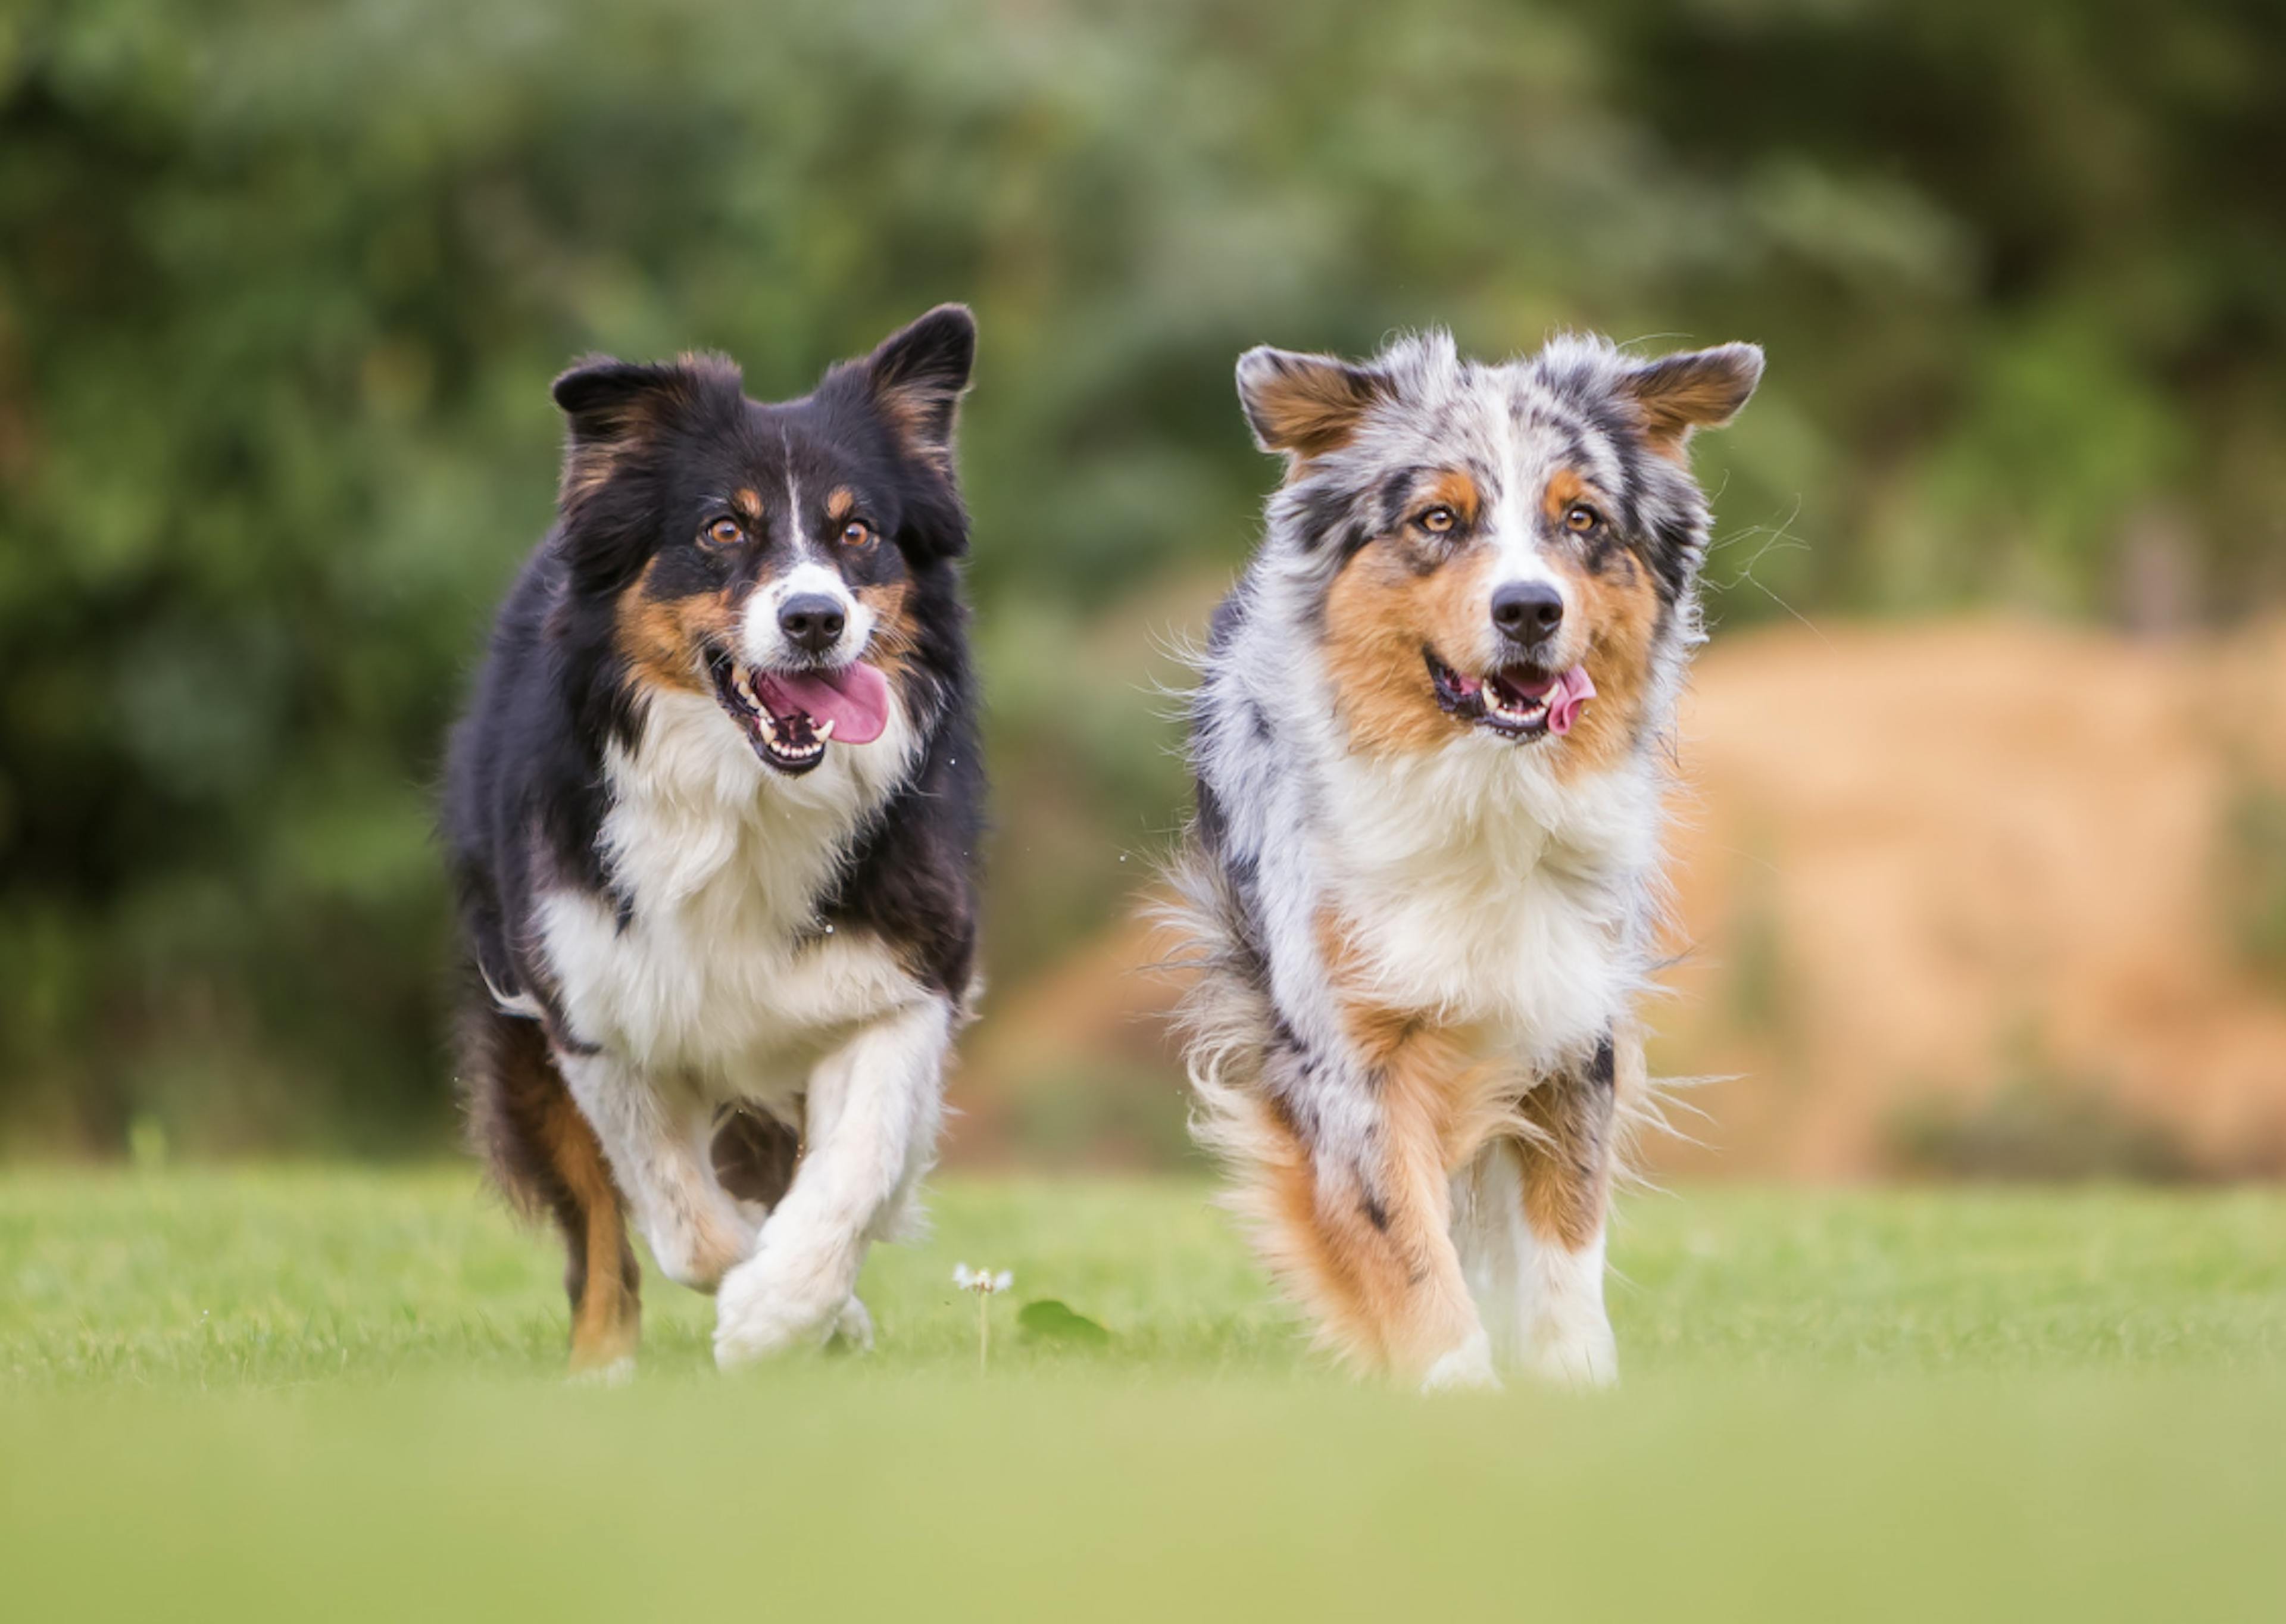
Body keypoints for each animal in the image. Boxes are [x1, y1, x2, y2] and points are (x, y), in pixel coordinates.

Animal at [443, 306, 983, 1372]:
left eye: (857, 533)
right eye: (724, 529)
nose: (815, 618)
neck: (746, 794)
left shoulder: (902, 978)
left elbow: (858, 1168)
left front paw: (784, 1305)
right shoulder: (591, 1000)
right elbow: (685, 1224)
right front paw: (785, 1299)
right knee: (602, 1234)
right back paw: (601, 1368)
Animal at [1170, 332, 1756, 1391]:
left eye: (1581, 518)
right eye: (1439, 518)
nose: (1529, 608)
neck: (1486, 791)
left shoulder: (1572, 1008)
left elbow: (1567, 1231)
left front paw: (1574, 1383)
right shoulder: (1346, 1043)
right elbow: (1400, 1232)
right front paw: (1458, 1388)